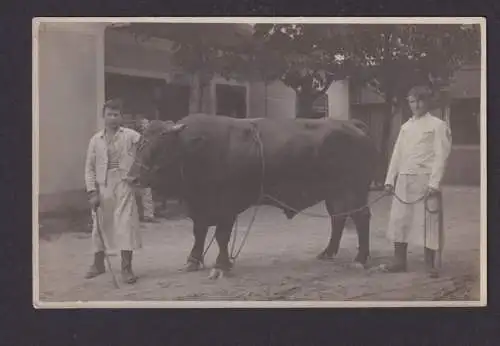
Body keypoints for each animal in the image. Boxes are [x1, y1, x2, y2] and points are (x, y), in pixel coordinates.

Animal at [127, 113, 376, 278]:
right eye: (139, 144)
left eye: (159, 146)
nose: (132, 179)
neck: (200, 150)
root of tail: (350, 123)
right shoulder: (199, 207)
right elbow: (199, 233)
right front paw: (193, 261)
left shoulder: (227, 206)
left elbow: (221, 236)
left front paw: (221, 266)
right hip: (334, 194)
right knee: (339, 218)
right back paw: (328, 252)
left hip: (353, 190)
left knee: (361, 218)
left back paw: (360, 259)